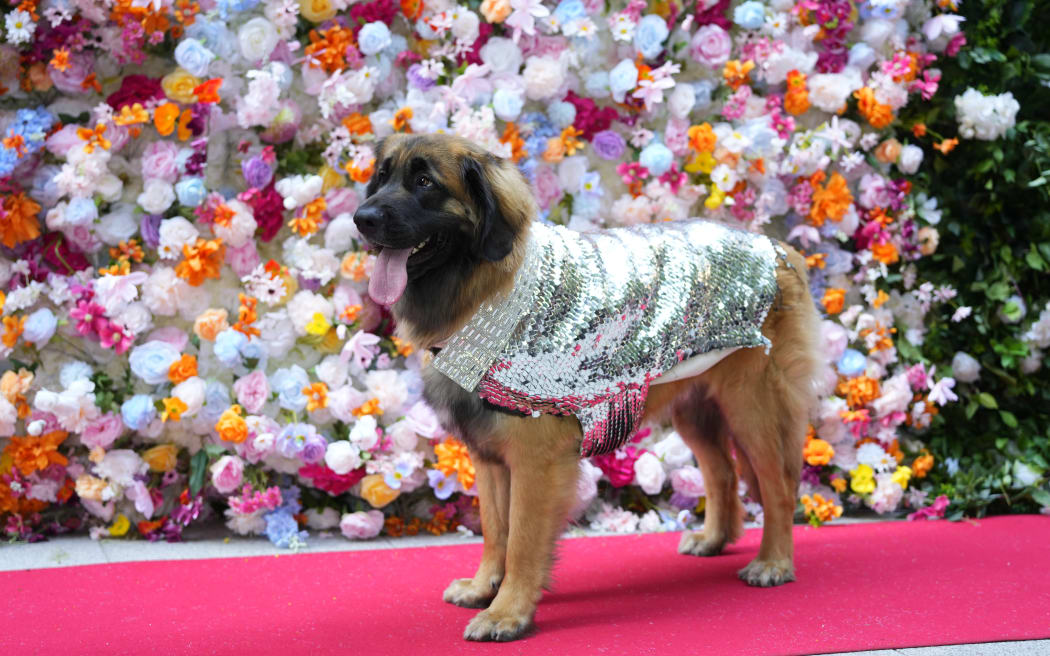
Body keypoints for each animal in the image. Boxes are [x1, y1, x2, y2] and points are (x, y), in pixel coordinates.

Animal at [352, 131, 818, 638]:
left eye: (424, 182)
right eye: (382, 177)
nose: (362, 219)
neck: (486, 291)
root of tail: (775, 247)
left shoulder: (535, 458)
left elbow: (521, 537)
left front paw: (507, 611)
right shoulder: (489, 454)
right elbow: (496, 528)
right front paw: (484, 587)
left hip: (753, 405)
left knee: (778, 484)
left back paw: (773, 562)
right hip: (696, 407)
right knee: (723, 473)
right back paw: (715, 539)